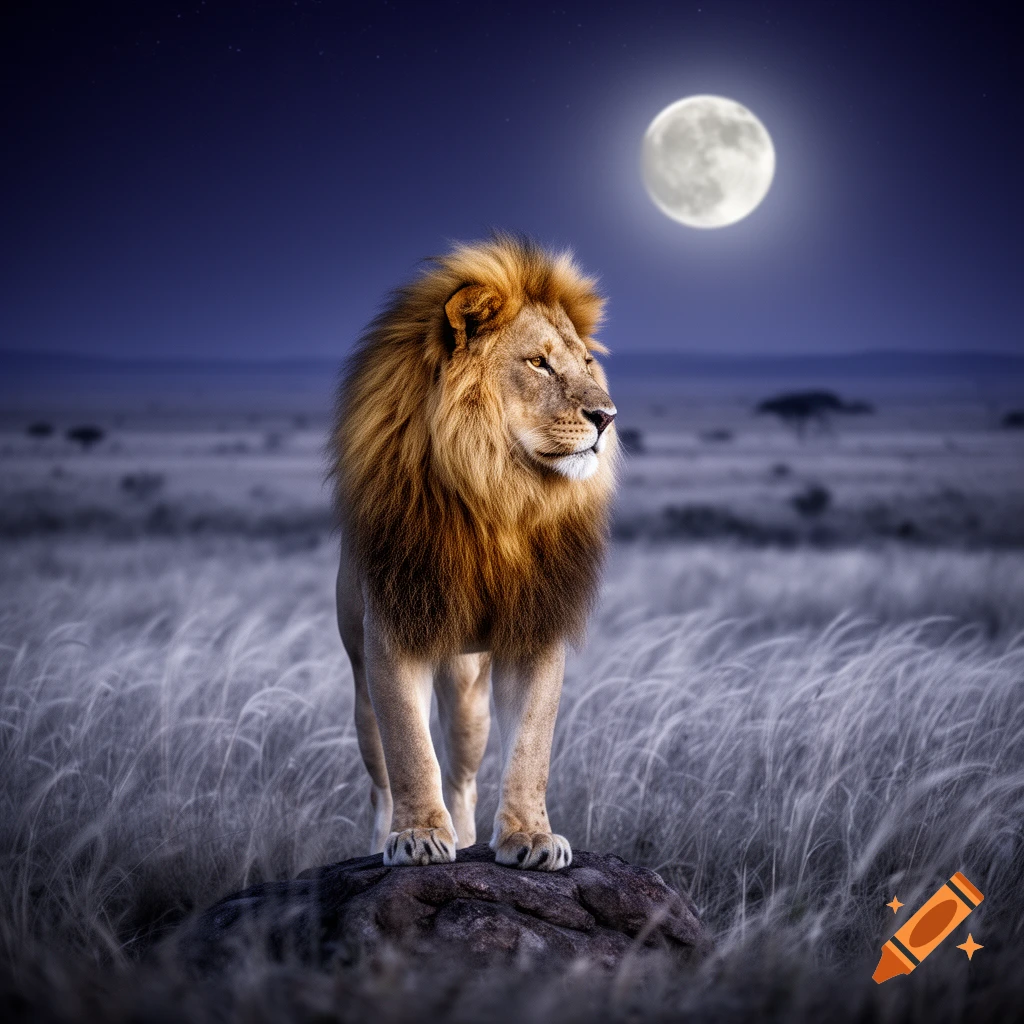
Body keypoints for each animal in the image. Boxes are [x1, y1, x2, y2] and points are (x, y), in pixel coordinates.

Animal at [330, 233, 617, 870]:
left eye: (586, 362)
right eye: (538, 363)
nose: (607, 417)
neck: (498, 493)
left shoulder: (535, 628)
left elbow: (531, 747)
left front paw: (530, 838)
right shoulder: (392, 629)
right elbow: (411, 750)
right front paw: (416, 837)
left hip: (467, 690)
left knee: (463, 776)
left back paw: (464, 835)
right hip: (360, 685)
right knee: (381, 776)